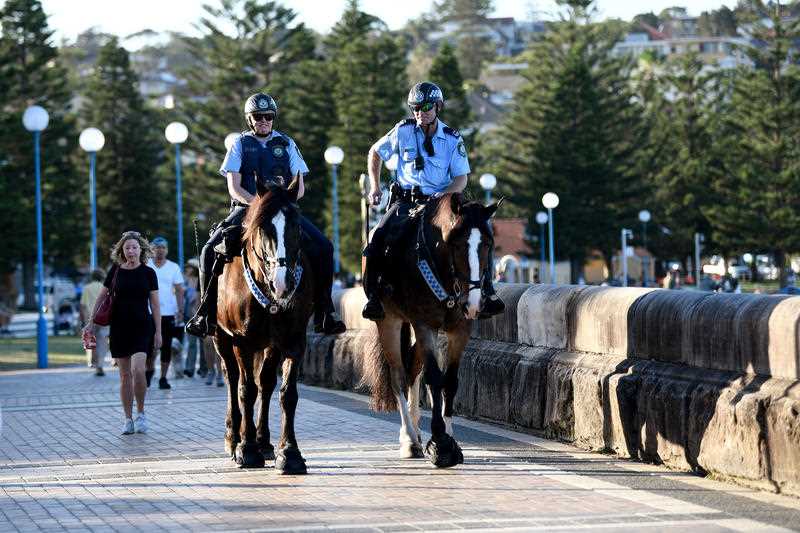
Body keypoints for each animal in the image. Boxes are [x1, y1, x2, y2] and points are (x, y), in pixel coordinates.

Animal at [214, 176, 314, 474]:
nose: (283, 282)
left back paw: (265, 442)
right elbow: (246, 391)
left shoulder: (294, 340)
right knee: (233, 379)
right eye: (262, 227)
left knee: (266, 383)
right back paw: (233, 438)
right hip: (221, 339)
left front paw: (290, 453)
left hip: (270, 345)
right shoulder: (241, 340)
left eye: (295, 225)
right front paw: (246, 450)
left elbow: (287, 393)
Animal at [362, 193, 500, 468]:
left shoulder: (460, 329)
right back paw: (409, 439)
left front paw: (451, 438)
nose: (473, 303)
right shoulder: (425, 325)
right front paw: (440, 442)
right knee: (398, 376)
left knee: (412, 370)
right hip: (390, 321)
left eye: (488, 245)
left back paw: (415, 430)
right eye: (455, 244)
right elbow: (435, 378)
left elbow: (451, 381)